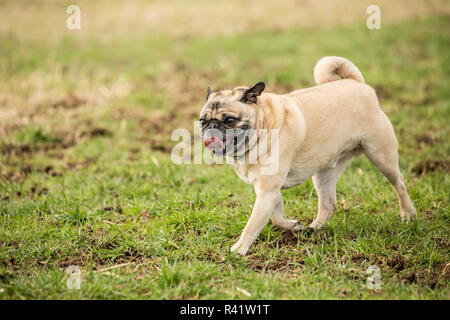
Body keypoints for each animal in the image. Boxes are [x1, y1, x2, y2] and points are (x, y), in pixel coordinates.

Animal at [199, 55, 416, 255]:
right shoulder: (270, 191)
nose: (211, 127)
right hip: (323, 175)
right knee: (328, 204)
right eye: (202, 121)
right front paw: (294, 226)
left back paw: (408, 214)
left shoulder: (267, 191)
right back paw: (314, 229)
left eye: (229, 120)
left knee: (399, 183)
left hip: (381, 155)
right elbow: (277, 218)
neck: (262, 127)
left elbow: (252, 225)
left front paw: (238, 250)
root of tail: (357, 83)